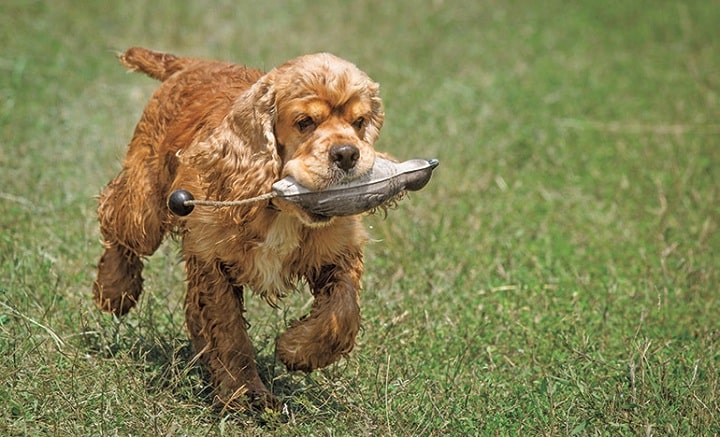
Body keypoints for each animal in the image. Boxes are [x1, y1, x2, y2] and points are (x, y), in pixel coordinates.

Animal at [94, 47, 388, 408]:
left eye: (359, 122)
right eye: (305, 122)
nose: (347, 154)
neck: (279, 207)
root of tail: (191, 64)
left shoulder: (338, 252)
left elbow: (343, 311)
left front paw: (297, 350)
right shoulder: (212, 259)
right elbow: (229, 333)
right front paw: (247, 395)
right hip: (145, 205)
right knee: (116, 216)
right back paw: (114, 290)